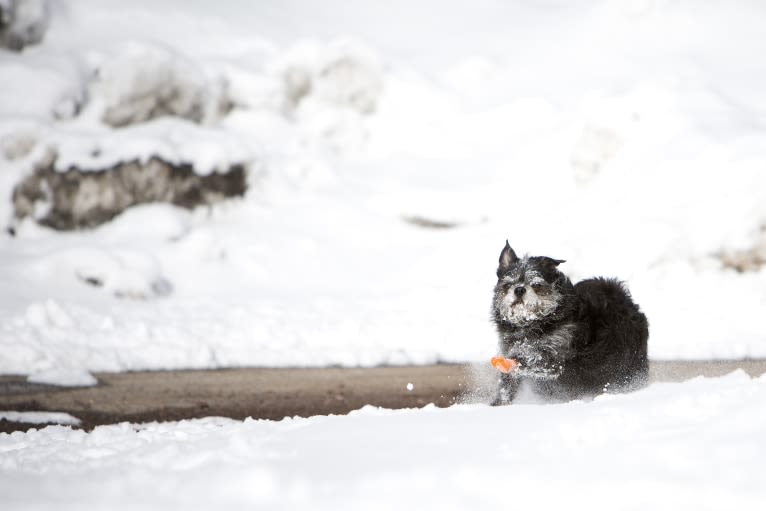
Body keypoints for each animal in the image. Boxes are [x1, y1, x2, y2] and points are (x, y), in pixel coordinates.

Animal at [492, 240, 648, 404]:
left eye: (536, 285)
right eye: (507, 285)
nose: (519, 289)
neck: (533, 323)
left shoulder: (555, 359)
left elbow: (532, 360)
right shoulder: (508, 348)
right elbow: (507, 384)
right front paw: (499, 404)